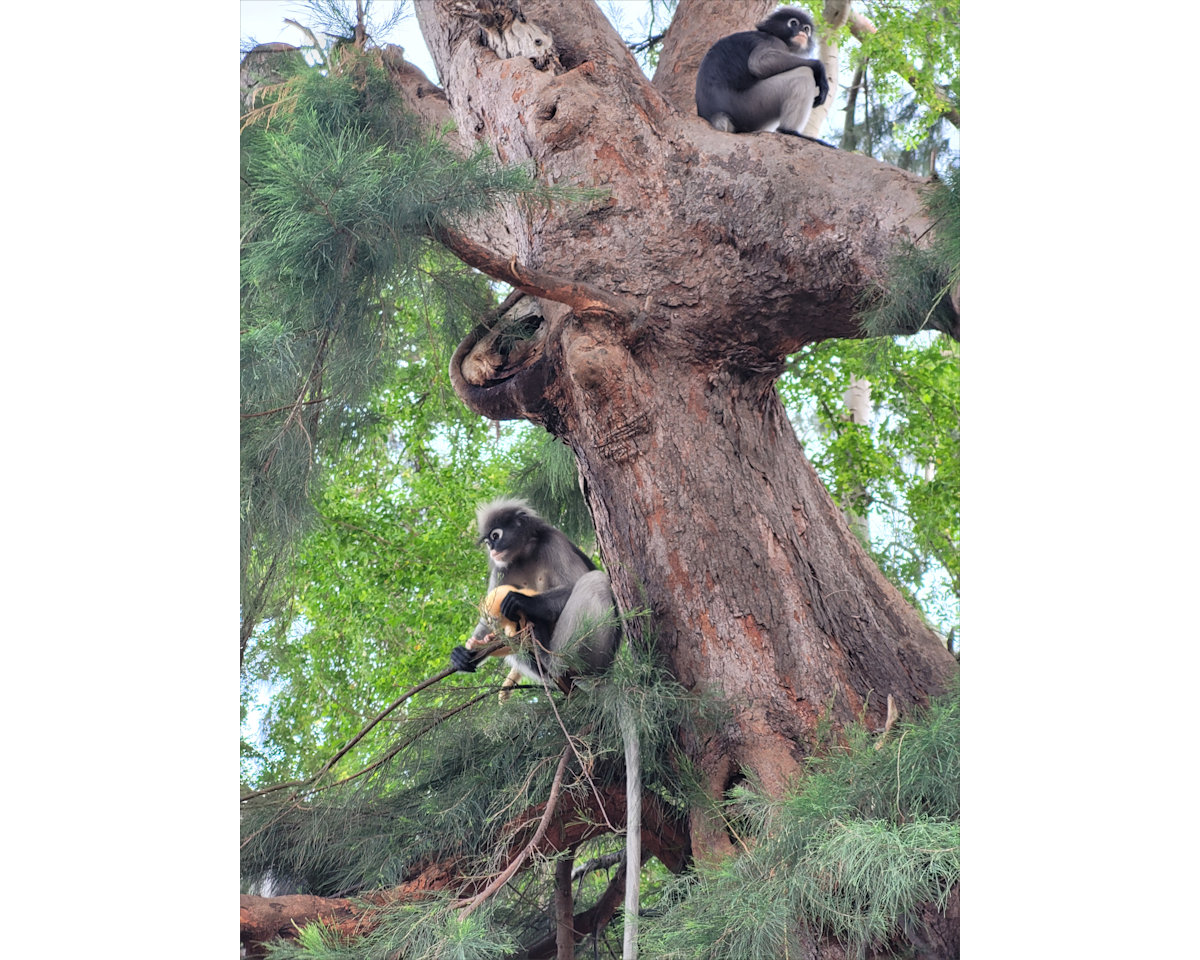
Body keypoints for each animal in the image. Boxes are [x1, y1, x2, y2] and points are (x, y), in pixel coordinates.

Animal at [450, 498, 620, 696]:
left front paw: (521, 601)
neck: (524, 553)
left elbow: (573, 582)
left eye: (495, 536)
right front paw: (466, 652)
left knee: (595, 580)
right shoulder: (501, 569)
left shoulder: (554, 542)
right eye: (487, 542)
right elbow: (488, 619)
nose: (491, 548)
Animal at [694, 6, 832, 146]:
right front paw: (819, 67)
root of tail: (712, 114)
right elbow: (758, 63)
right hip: (748, 107)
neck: (774, 34)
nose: (802, 32)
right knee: (804, 74)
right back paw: (789, 131)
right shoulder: (773, 42)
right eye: (794, 23)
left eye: (806, 28)